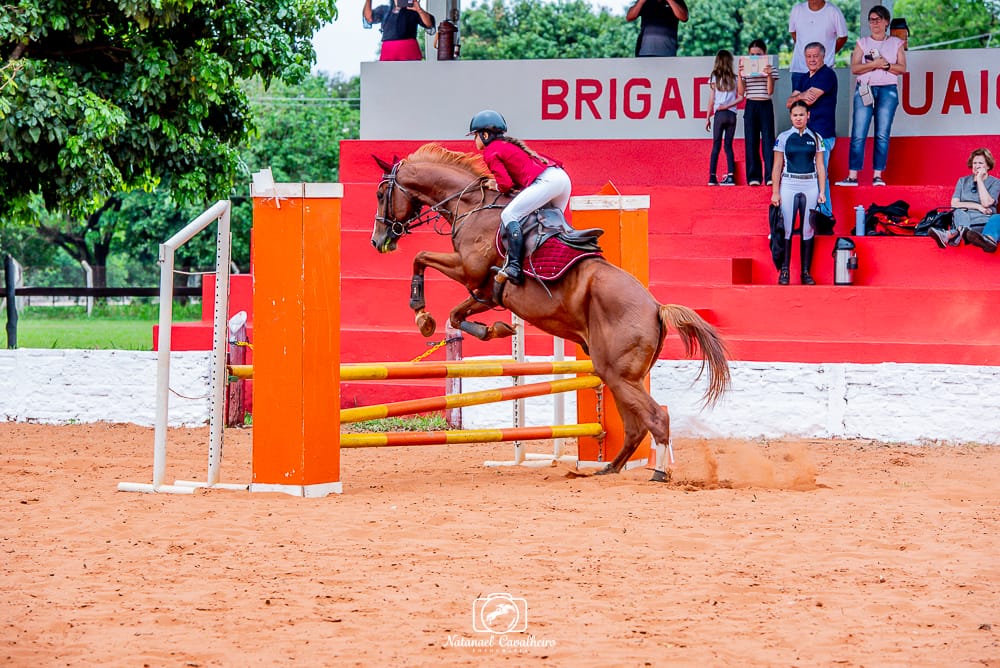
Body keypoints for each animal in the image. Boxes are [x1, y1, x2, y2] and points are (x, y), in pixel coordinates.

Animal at [368, 144, 728, 478]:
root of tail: (656, 307)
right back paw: (608, 468)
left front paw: (420, 312)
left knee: (656, 418)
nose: (378, 240)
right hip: (617, 375)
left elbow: (421, 258)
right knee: (636, 425)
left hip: (618, 374)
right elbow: (457, 315)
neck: (470, 207)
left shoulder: (469, 271)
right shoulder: (485, 293)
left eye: (381, 193)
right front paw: (493, 329)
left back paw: (659, 472)